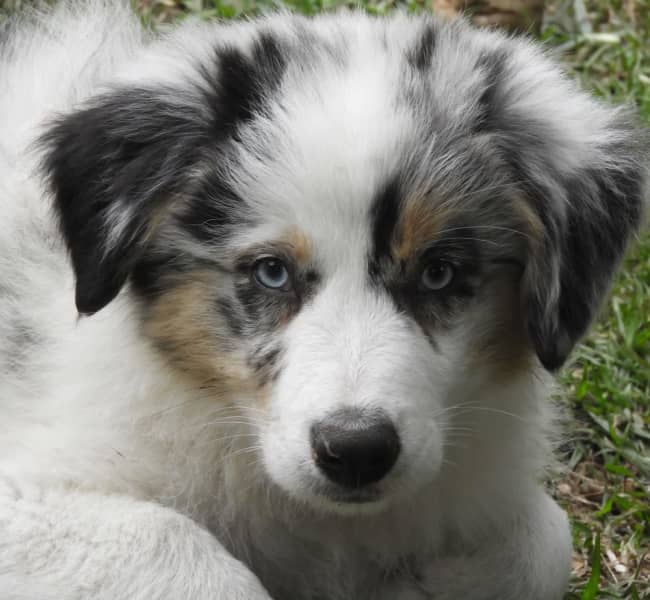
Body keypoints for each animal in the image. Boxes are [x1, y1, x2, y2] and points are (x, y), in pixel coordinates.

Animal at [0, 2, 644, 596]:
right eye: (271, 272)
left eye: (438, 273)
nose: (357, 452)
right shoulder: (30, 494)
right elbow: (189, 554)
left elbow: (544, 539)